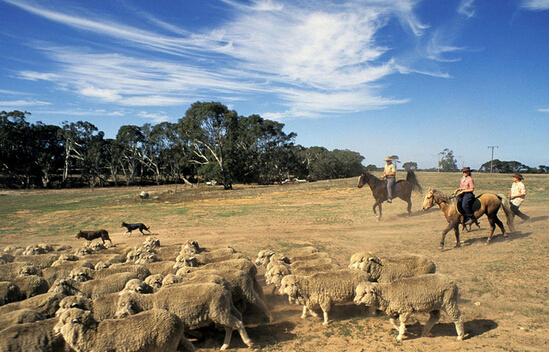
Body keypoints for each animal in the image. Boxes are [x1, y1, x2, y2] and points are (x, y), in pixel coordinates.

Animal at [116, 282, 254, 350]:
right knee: (230, 326)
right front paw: (196, 336)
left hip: (219, 311)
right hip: (220, 311)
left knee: (237, 323)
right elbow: (184, 332)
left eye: (123, 304)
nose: (116, 315)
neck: (151, 301)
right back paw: (225, 346)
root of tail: (226, 292)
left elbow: (183, 335)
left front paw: (191, 343)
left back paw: (248, 342)